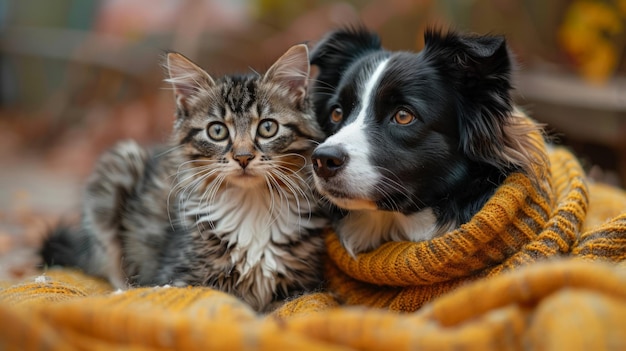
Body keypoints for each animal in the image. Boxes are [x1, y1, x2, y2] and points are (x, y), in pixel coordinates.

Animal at [41, 43, 330, 314]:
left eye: (268, 127)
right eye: (217, 131)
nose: (243, 157)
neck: (252, 205)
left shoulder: (303, 282)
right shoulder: (180, 276)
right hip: (118, 166)